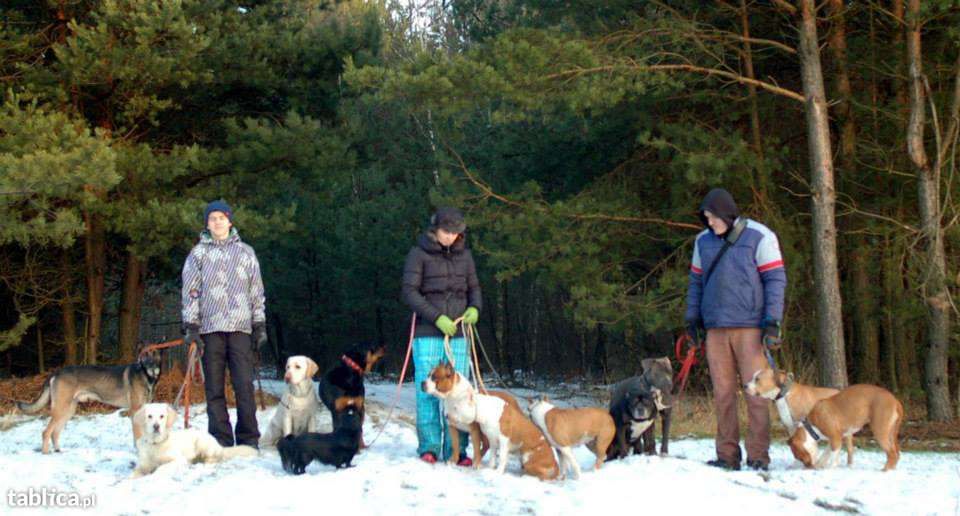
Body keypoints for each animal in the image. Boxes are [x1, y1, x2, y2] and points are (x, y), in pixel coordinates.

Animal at [14, 350, 161, 452]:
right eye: (146, 359)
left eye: (155, 359)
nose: (152, 369)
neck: (144, 375)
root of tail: (56, 372)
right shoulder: (135, 411)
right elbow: (137, 436)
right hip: (61, 409)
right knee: (46, 432)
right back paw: (46, 453)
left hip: (68, 410)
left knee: (55, 433)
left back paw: (58, 450)